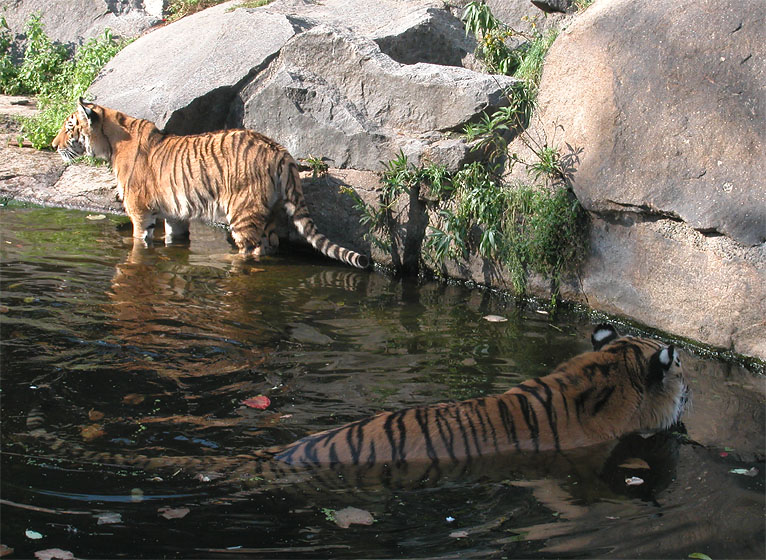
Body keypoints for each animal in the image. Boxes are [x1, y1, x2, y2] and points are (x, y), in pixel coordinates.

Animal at [51, 98, 369, 269]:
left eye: (69, 127)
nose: (53, 145)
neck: (112, 141)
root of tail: (280, 150)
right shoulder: (174, 214)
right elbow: (174, 240)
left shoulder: (140, 213)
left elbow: (139, 243)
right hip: (270, 210)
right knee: (271, 245)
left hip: (242, 211)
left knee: (249, 248)